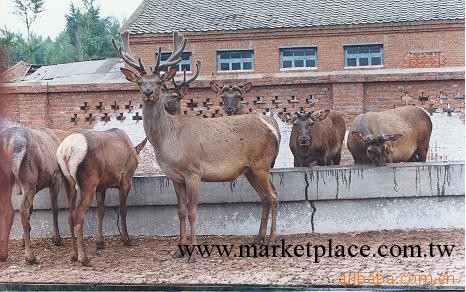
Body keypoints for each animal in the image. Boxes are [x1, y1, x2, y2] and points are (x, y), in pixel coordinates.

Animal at [0, 126, 73, 264]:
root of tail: (8, 145)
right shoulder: (55, 177)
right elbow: (54, 208)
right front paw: (57, 238)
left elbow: (31, 210)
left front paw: (23, 241)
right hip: (29, 178)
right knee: (21, 210)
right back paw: (30, 256)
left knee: (9, 210)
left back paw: (4, 253)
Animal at [57, 129, 147, 266]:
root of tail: (67, 150)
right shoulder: (126, 180)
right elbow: (123, 210)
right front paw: (126, 239)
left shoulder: (101, 187)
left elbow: (101, 211)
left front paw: (100, 242)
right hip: (88, 183)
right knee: (79, 214)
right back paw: (84, 258)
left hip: (68, 183)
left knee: (70, 215)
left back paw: (74, 255)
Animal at [114, 31, 278, 262]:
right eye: (139, 82)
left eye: (159, 81)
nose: (147, 92)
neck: (167, 141)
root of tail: (271, 127)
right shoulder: (175, 177)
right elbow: (181, 212)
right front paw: (178, 250)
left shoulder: (194, 172)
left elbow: (192, 211)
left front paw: (193, 253)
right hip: (250, 170)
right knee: (264, 197)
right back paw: (258, 238)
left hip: (262, 164)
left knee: (273, 196)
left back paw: (271, 240)